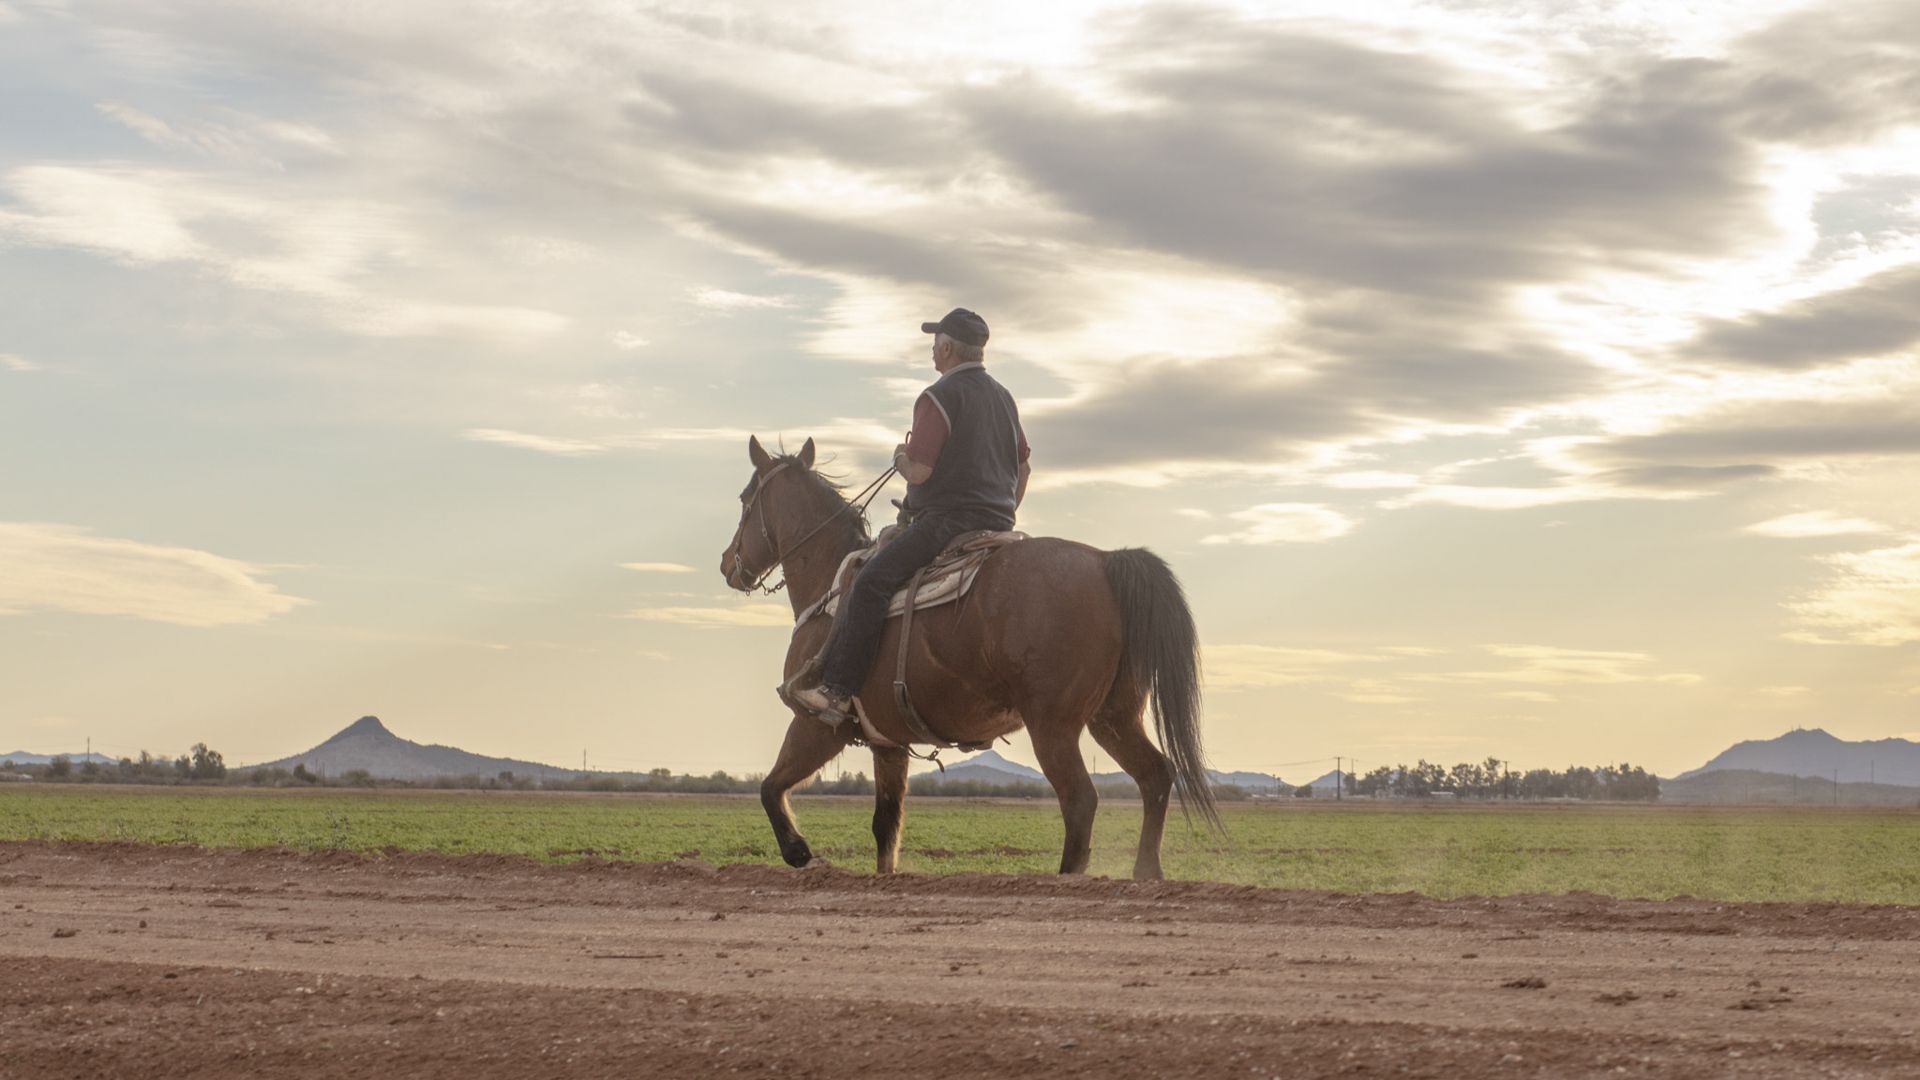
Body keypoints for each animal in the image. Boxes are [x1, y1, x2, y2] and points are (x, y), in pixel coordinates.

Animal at [721, 434, 1213, 876]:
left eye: (745, 499)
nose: (728, 564)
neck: (830, 583)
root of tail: (1106, 561)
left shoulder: (818, 724)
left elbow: (770, 787)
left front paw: (800, 853)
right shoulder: (888, 742)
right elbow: (886, 826)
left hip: (1054, 725)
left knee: (1080, 799)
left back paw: (1069, 877)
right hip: (1113, 717)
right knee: (1155, 776)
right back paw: (1146, 873)